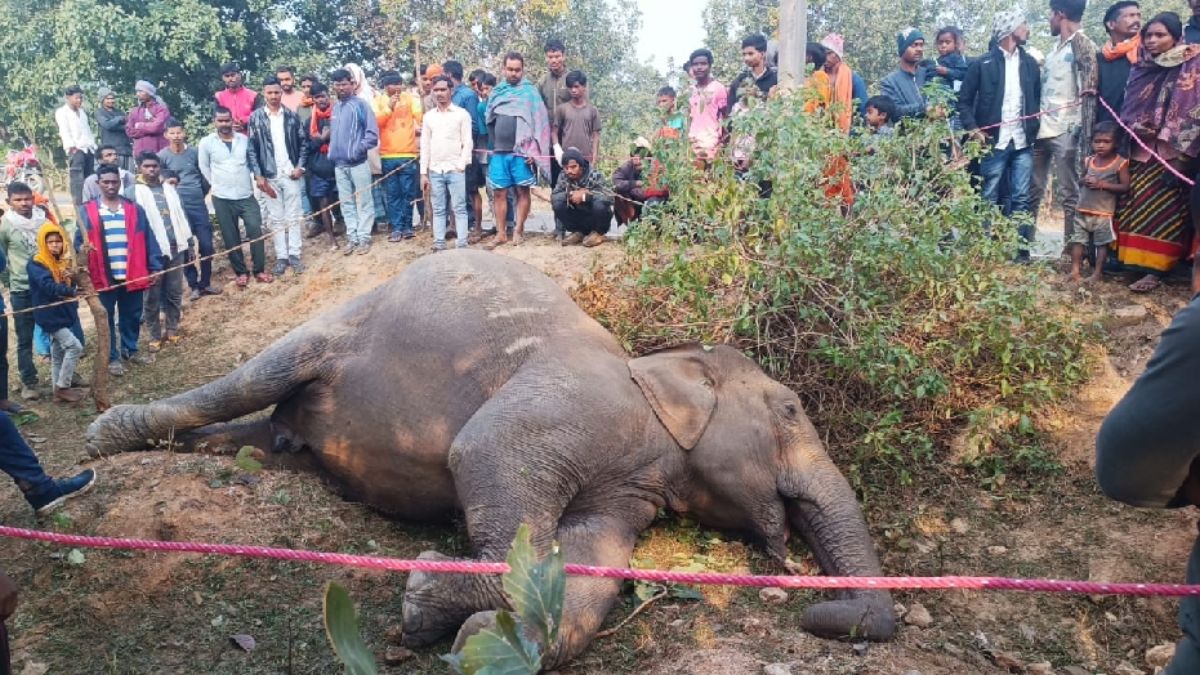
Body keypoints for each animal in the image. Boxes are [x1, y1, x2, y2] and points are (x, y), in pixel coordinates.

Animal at [85, 250, 896, 668]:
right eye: (789, 410)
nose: (813, 607)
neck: (655, 370)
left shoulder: (628, 487)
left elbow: (592, 561)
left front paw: (478, 635)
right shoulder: (579, 401)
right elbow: (488, 453)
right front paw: (425, 601)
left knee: (269, 433)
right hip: (335, 324)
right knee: (257, 375)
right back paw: (103, 439)